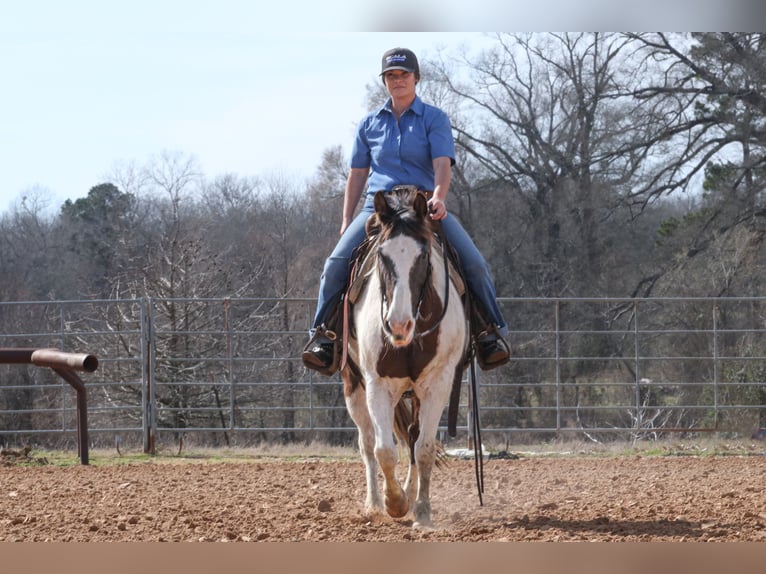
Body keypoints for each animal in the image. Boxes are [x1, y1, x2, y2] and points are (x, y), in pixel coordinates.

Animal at [344, 190, 474, 532]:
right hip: (353, 383)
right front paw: (395, 503)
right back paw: (374, 504)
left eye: (423, 257)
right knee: (367, 442)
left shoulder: (437, 385)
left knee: (414, 438)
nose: (398, 325)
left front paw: (421, 509)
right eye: (382, 256)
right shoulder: (377, 384)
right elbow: (384, 450)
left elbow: (424, 448)